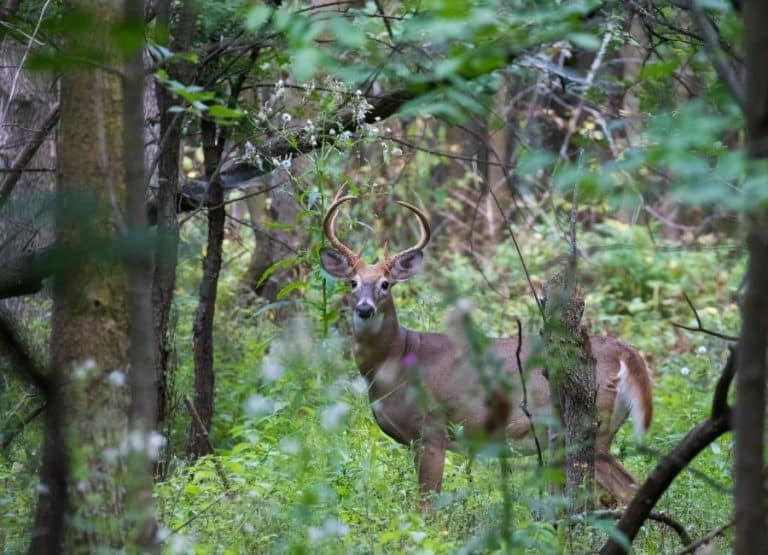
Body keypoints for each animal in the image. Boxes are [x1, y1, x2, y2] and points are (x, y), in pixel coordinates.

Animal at [319, 195, 653, 506]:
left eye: (385, 284)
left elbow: (427, 505)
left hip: (592, 425)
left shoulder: (432, 428)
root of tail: (627, 352)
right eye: (352, 282)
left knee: (628, 488)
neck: (396, 362)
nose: (365, 309)